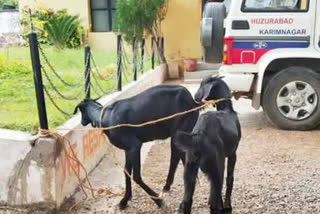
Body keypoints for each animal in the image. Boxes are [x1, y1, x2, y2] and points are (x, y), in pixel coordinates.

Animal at [175, 76, 240, 214]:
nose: (195, 96)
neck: (226, 109)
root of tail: (199, 134)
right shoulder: (233, 154)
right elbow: (230, 179)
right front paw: (227, 206)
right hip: (217, 169)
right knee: (213, 202)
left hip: (189, 171)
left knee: (188, 201)